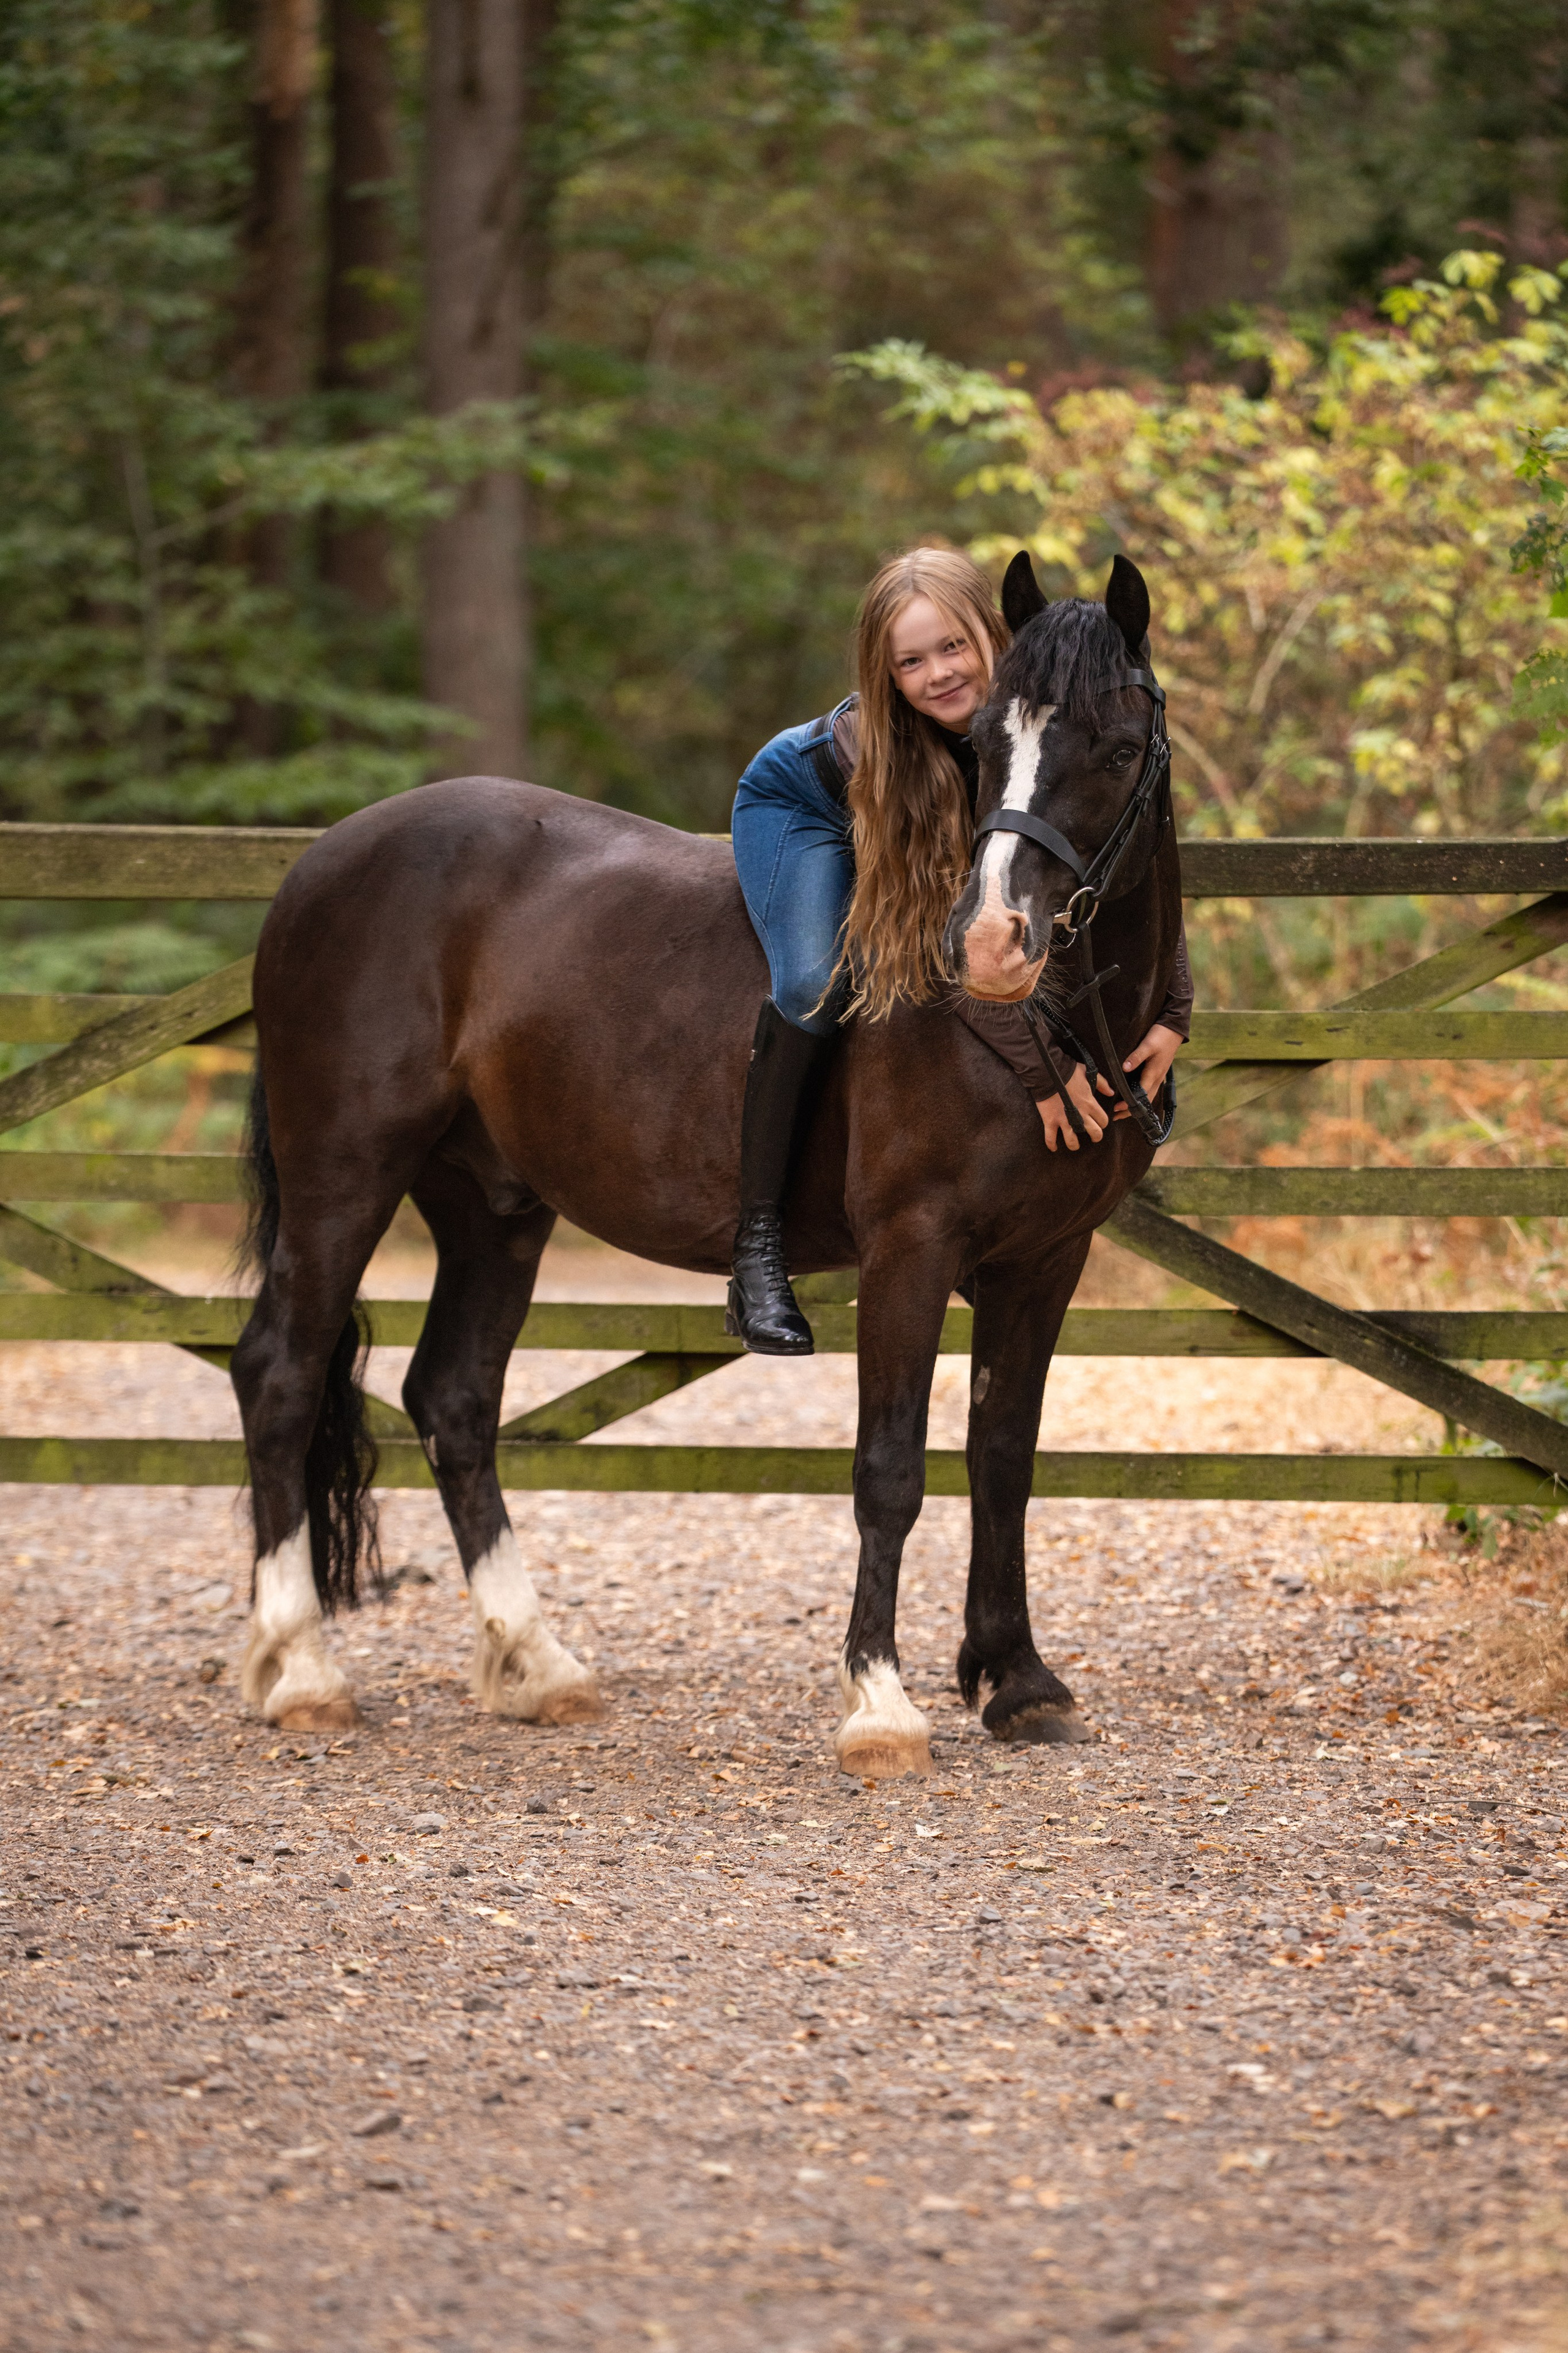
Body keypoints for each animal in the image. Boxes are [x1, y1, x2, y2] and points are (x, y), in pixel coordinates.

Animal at [230, 551, 1182, 1780]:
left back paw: (537, 1664)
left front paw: (1017, 1682)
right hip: (343, 1177)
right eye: (980, 740)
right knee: (283, 1374)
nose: (990, 943)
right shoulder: (911, 1249)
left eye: (1114, 748)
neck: (1021, 1032)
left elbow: (1004, 1460)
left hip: (492, 1206)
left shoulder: (1045, 1262)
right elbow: (890, 1469)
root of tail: (315, 869)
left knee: (455, 1400)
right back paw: (302, 1671)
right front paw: (881, 1705)